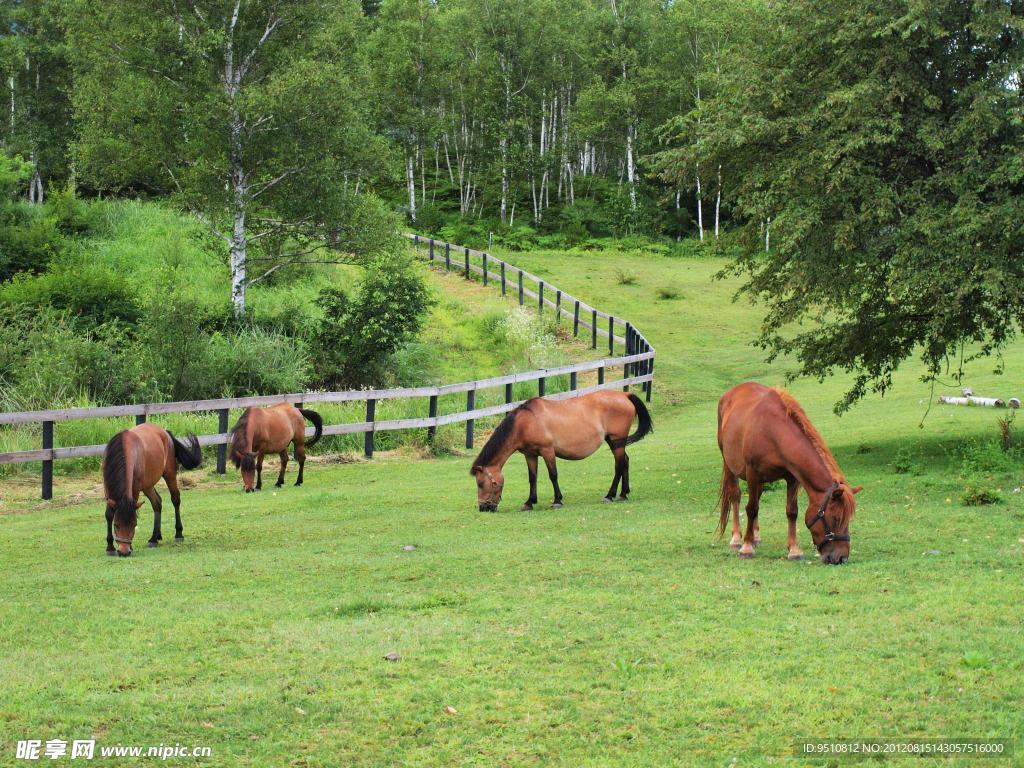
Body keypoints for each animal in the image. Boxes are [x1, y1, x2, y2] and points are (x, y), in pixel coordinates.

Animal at [101, 423, 201, 557]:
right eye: (116, 525)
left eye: (134, 525)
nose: (124, 552)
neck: (124, 450)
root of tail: (165, 432)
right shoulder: (108, 489)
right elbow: (109, 514)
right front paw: (110, 546)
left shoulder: (135, 488)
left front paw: (128, 546)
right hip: (147, 485)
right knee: (157, 503)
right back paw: (154, 538)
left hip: (169, 474)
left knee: (175, 499)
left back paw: (178, 533)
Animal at [468, 393, 651, 514]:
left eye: (481, 483)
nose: (483, 508)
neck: (526, 422)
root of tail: (625, 394)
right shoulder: (530, 455)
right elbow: (532, 478)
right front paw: (529, 502)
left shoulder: (547, 451)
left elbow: (553, 475)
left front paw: (557, 501)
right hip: (615, 443)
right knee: (625, 462)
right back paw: (623, 494)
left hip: (616, 441)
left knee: (619, 465)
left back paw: (610, 495)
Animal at [716, 382, 860, 565]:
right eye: (836, 519)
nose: (841, 558)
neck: (773, 432)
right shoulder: (752, 473)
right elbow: (751, 509)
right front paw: (746, 547)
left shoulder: (792, 478)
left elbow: (792, 511)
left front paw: (794, 550)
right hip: (730, 464)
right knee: (735, 495)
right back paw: (736, 538)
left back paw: (756, 536)